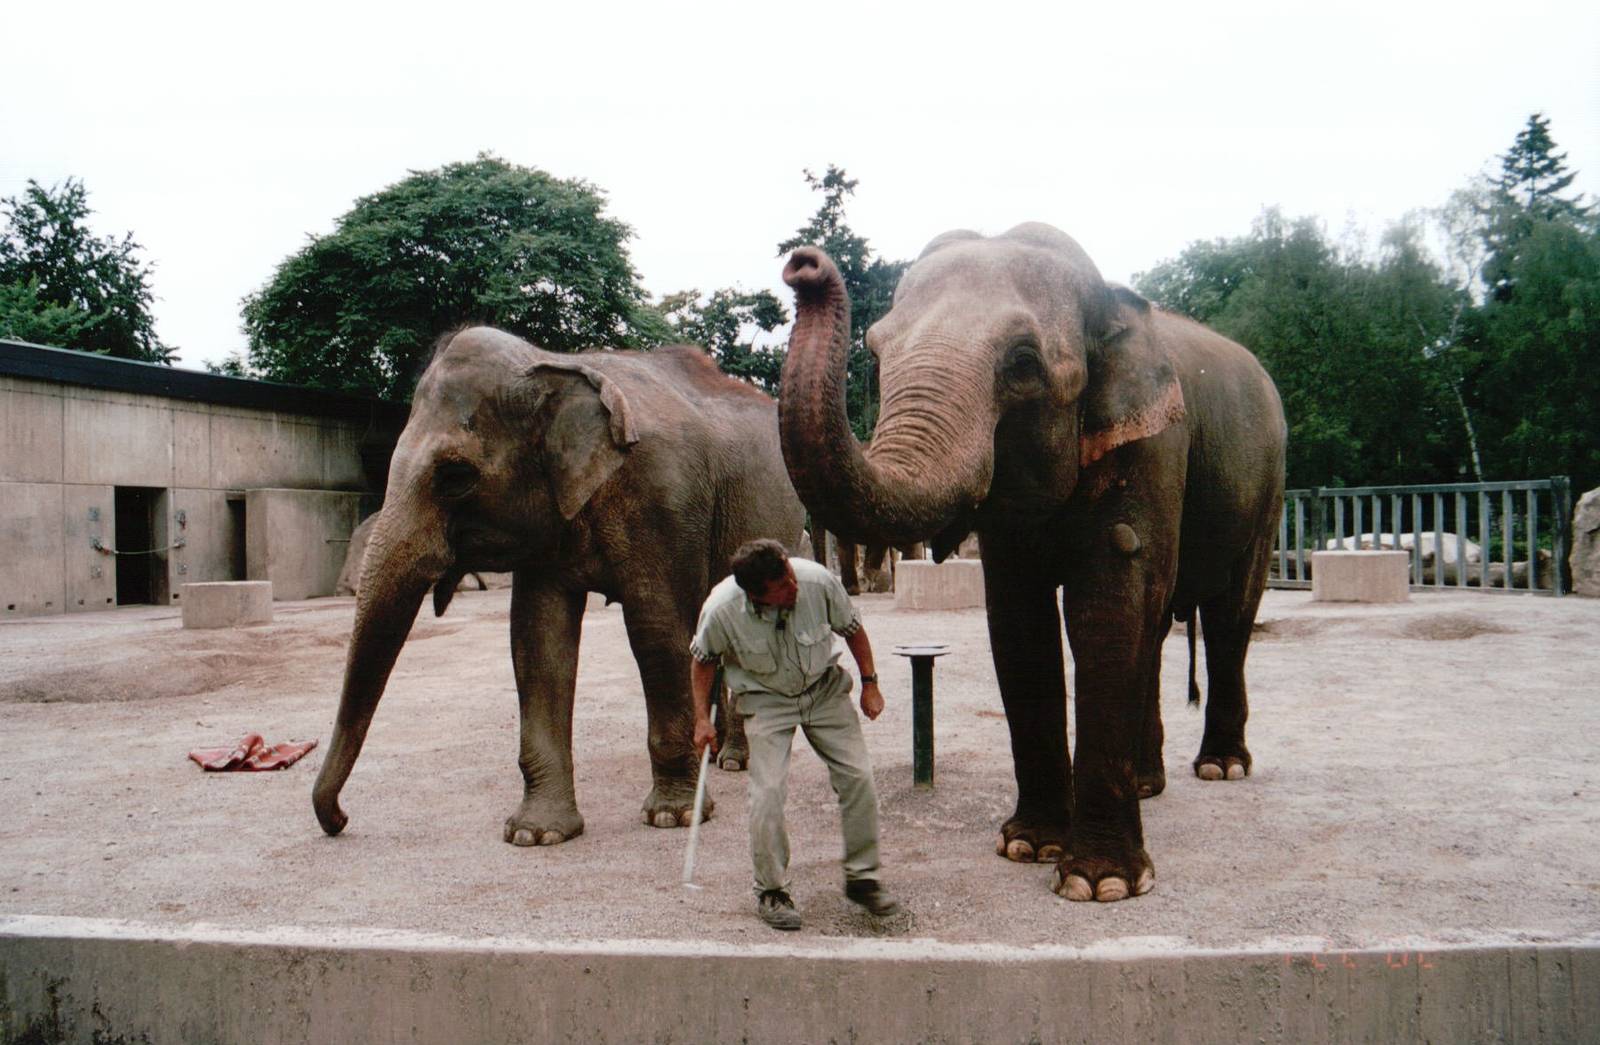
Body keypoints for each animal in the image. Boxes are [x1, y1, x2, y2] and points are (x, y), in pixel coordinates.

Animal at [312, 326, 804, 845]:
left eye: (455, 476)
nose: (340, 820)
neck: (552, 363)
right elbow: (538, 639)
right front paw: (536, 834)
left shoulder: (663, 499)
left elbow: (657, 629)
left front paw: (675, 817)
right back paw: (717, 756)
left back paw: (734, 762)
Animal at [777, 224, 1286, 902]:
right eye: (878, 354)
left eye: (1022, 363)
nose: (804, 265)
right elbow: (1020, 622)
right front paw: (1028, 847)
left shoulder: (1152, 442)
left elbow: (1105, 607)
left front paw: (1100, 883)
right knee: (1154, 630)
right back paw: (1148, 783)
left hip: (1268, 484)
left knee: (1230, 615)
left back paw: (1220, 767)